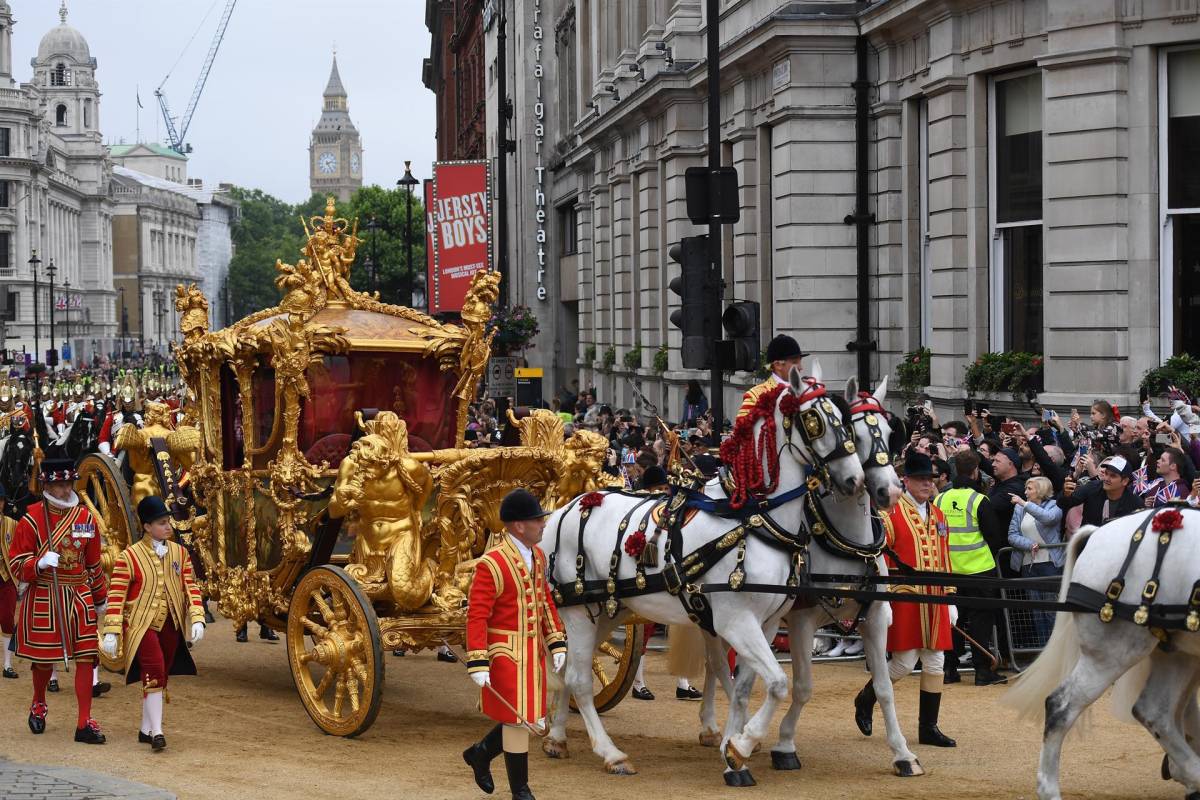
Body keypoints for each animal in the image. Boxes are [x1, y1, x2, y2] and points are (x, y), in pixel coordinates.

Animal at [544, 367, 864, 782]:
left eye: (846, 419)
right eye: (815, 419)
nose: (854, 480)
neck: (754, 521)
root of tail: (564, 510)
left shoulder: (764, 624)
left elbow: (746, 686)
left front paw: (735, 747)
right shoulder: (736, 621)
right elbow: (777, 683)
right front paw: (741, 745)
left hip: (607, 612)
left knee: (570, 668)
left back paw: (557, 737)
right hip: (579, 612)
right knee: (580, 680)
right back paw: (610, 753)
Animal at [1003, 510, 1200, 796]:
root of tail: (1097, 533)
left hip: (1175, 651)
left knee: (1159, 712)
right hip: (1114, 652)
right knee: (1061, 705)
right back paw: (1049, 789)